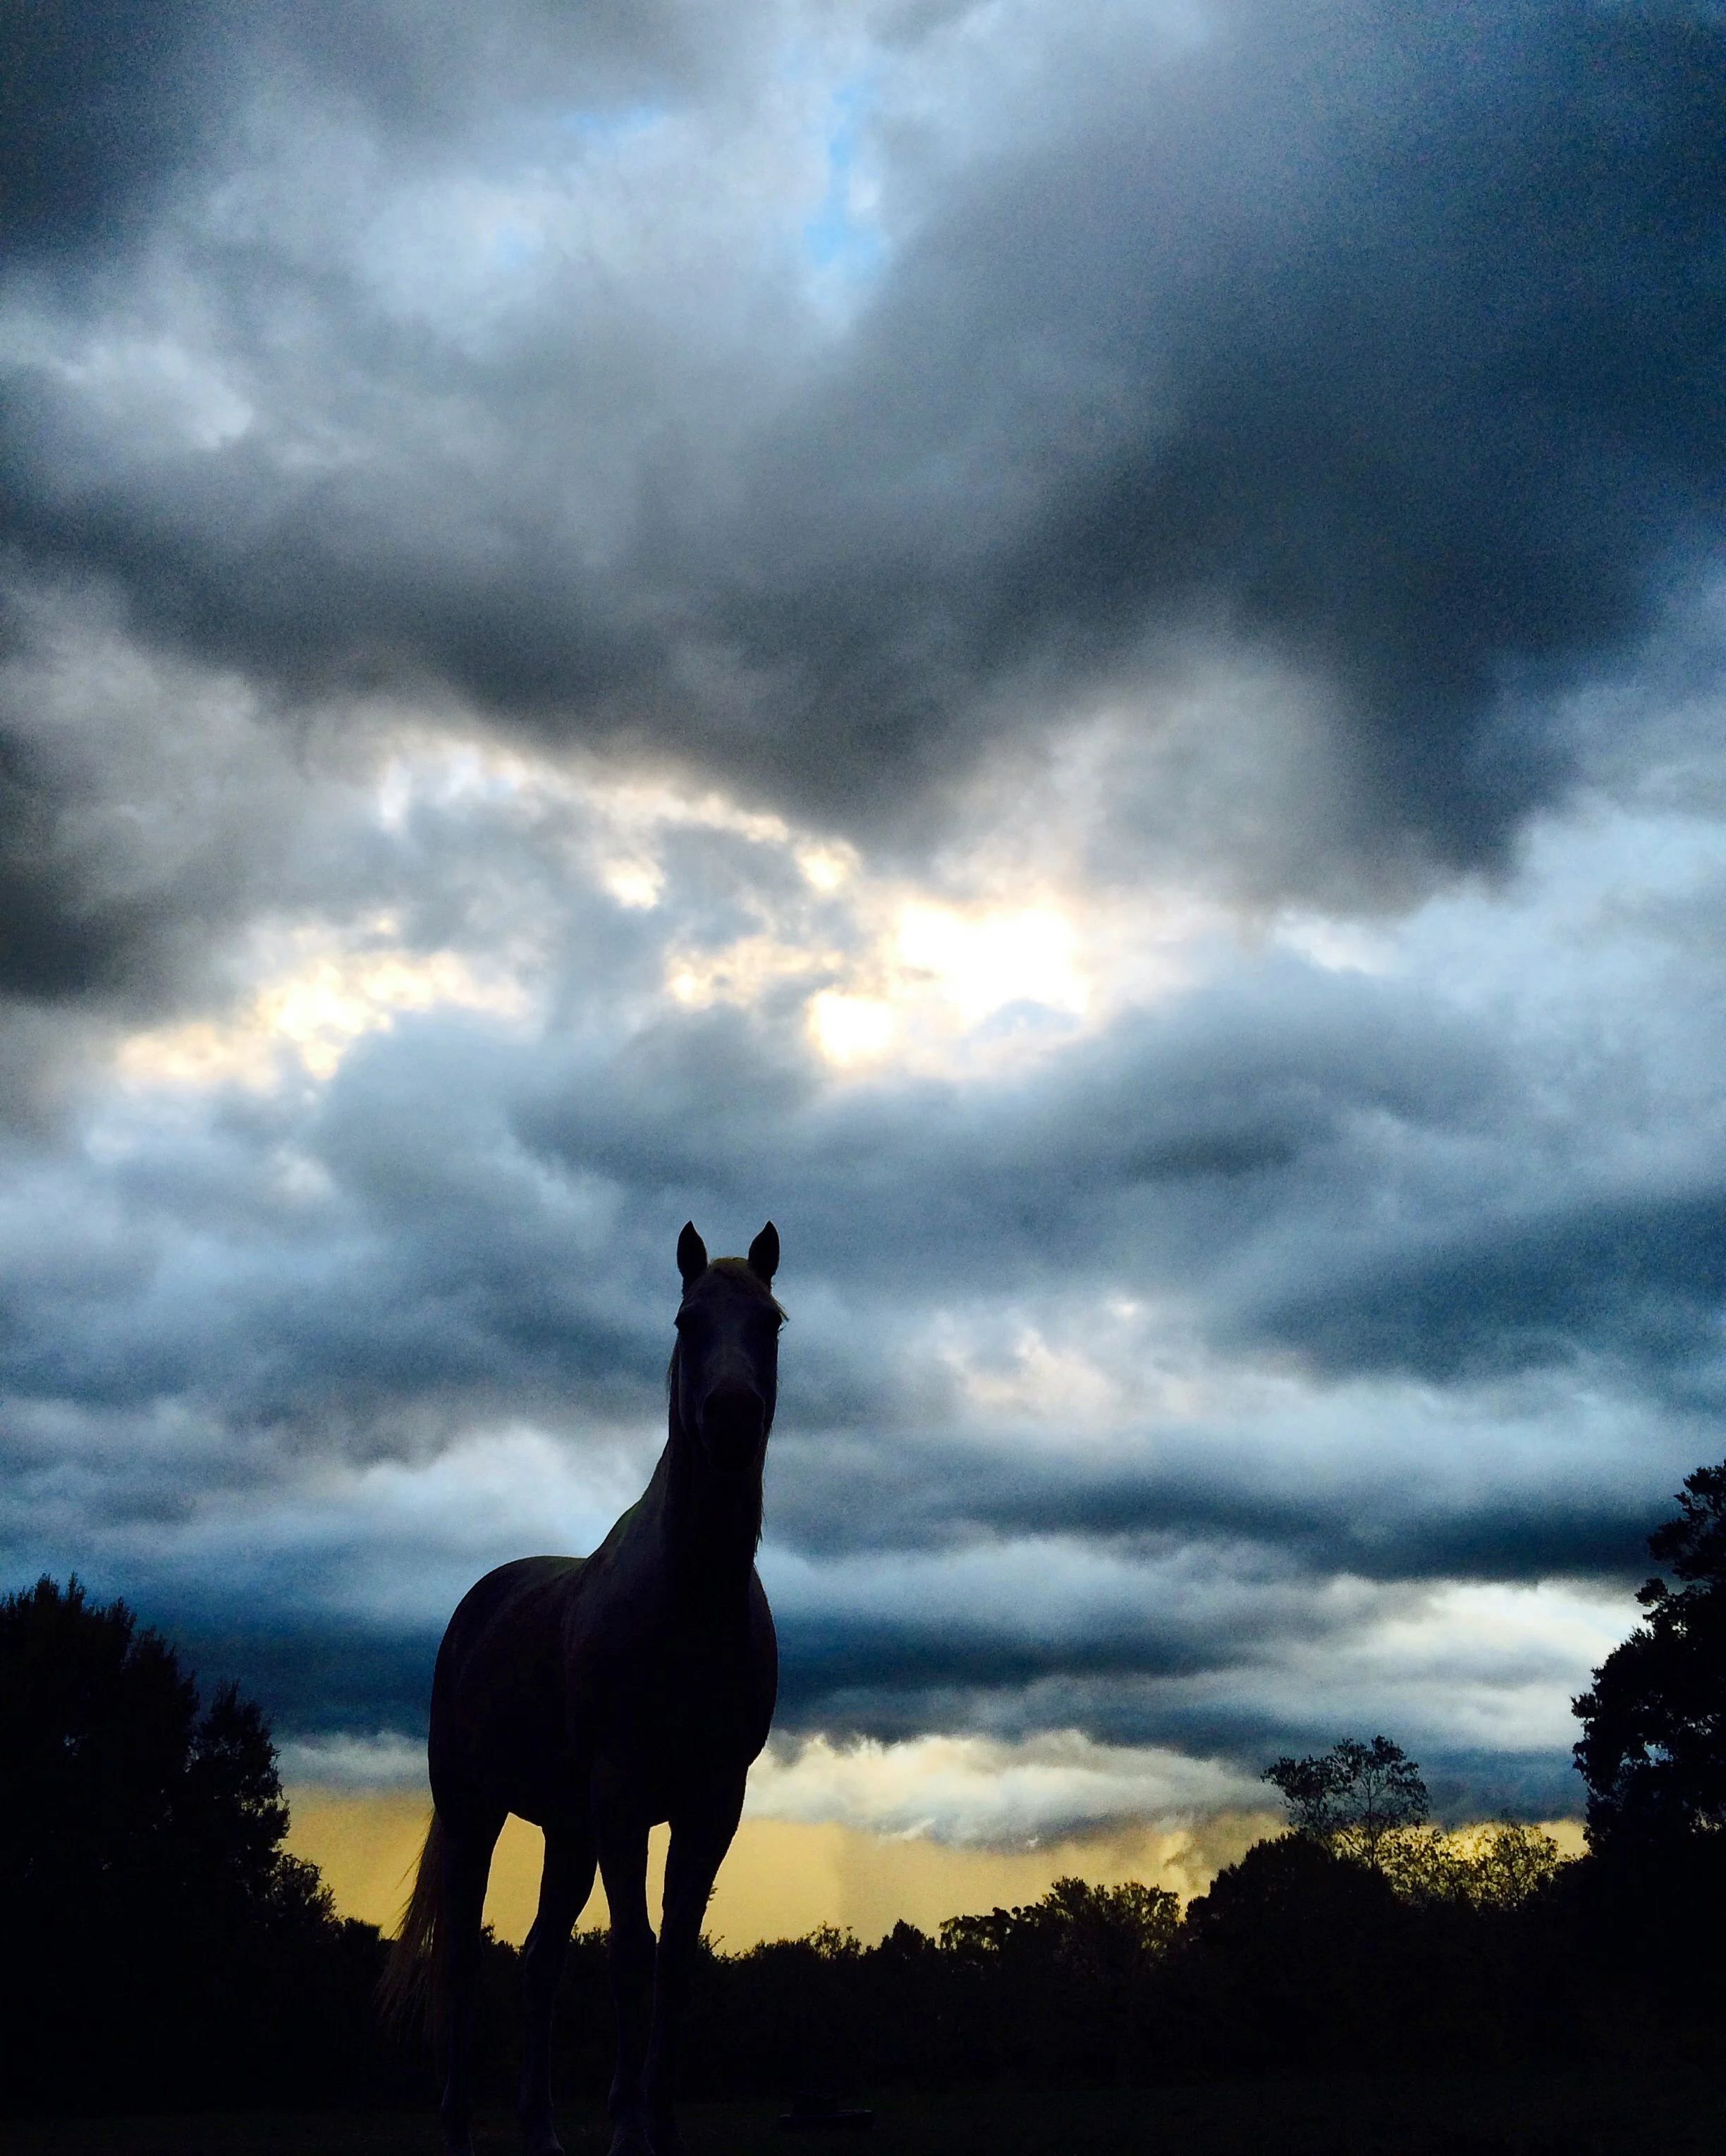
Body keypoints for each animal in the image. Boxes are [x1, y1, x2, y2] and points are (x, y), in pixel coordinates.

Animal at [383, 1221, 783, 2156]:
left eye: (772, 1322)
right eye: (686, 1323)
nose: (732, 1417)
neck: (689, 1601)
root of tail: (480, 1600)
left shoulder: (714, 1801)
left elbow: (675, 1961)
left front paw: (659, 2124)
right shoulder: (623, 1795)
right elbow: (633, 1955)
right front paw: (629, 2127)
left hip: (566, 1831)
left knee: (540, 1960)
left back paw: (540, 2129)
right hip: (475, 1809)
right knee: (463, 1959)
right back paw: (460, 2126)